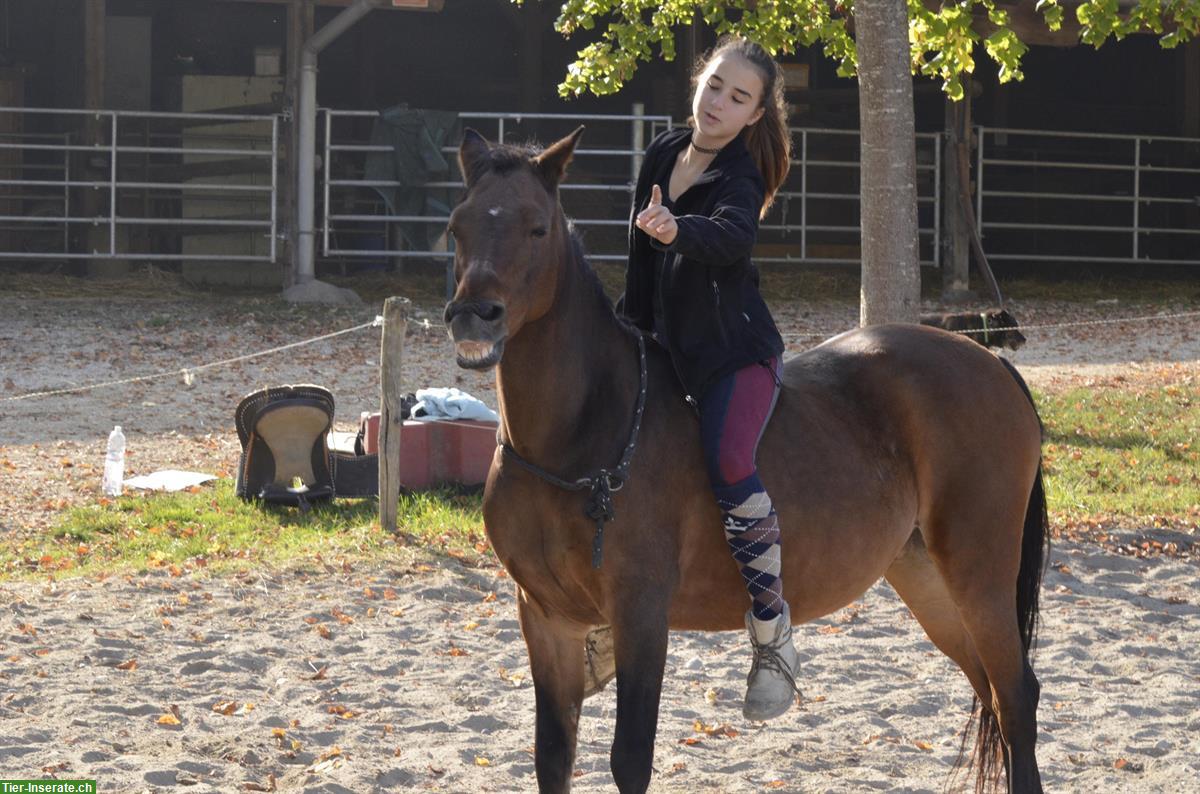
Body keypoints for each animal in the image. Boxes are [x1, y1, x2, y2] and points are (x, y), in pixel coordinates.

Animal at [444, 127, 1051, 791]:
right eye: (457, 226)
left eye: (536, 228)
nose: (475, 314)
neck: (584, 431)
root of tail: (988, 360)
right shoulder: (546, 617)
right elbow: (553, 752)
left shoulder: (640, 614)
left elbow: (630, 757)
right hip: (926, 575)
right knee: (990, 689)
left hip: (979, 573)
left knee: (1015, 696)